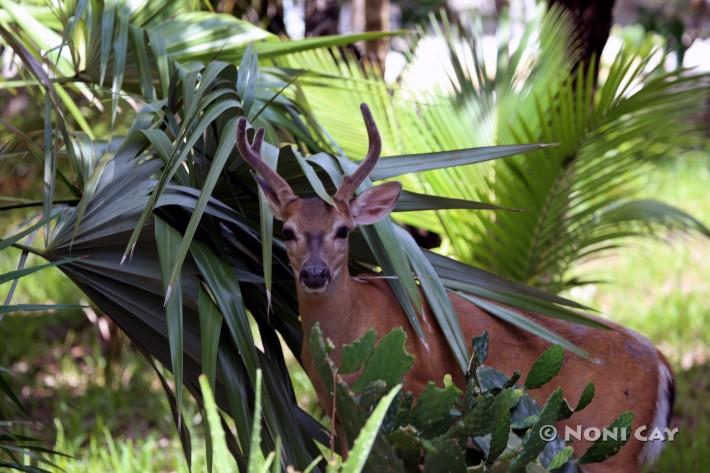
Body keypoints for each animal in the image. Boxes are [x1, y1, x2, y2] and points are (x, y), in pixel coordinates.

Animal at [236, 104, 676, 472]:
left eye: (343, 231)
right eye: (287, 232)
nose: (314, 274)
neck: (349, 337)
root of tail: (661, 363)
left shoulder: (410, 404)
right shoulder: (340, 416)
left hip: (608, 444)